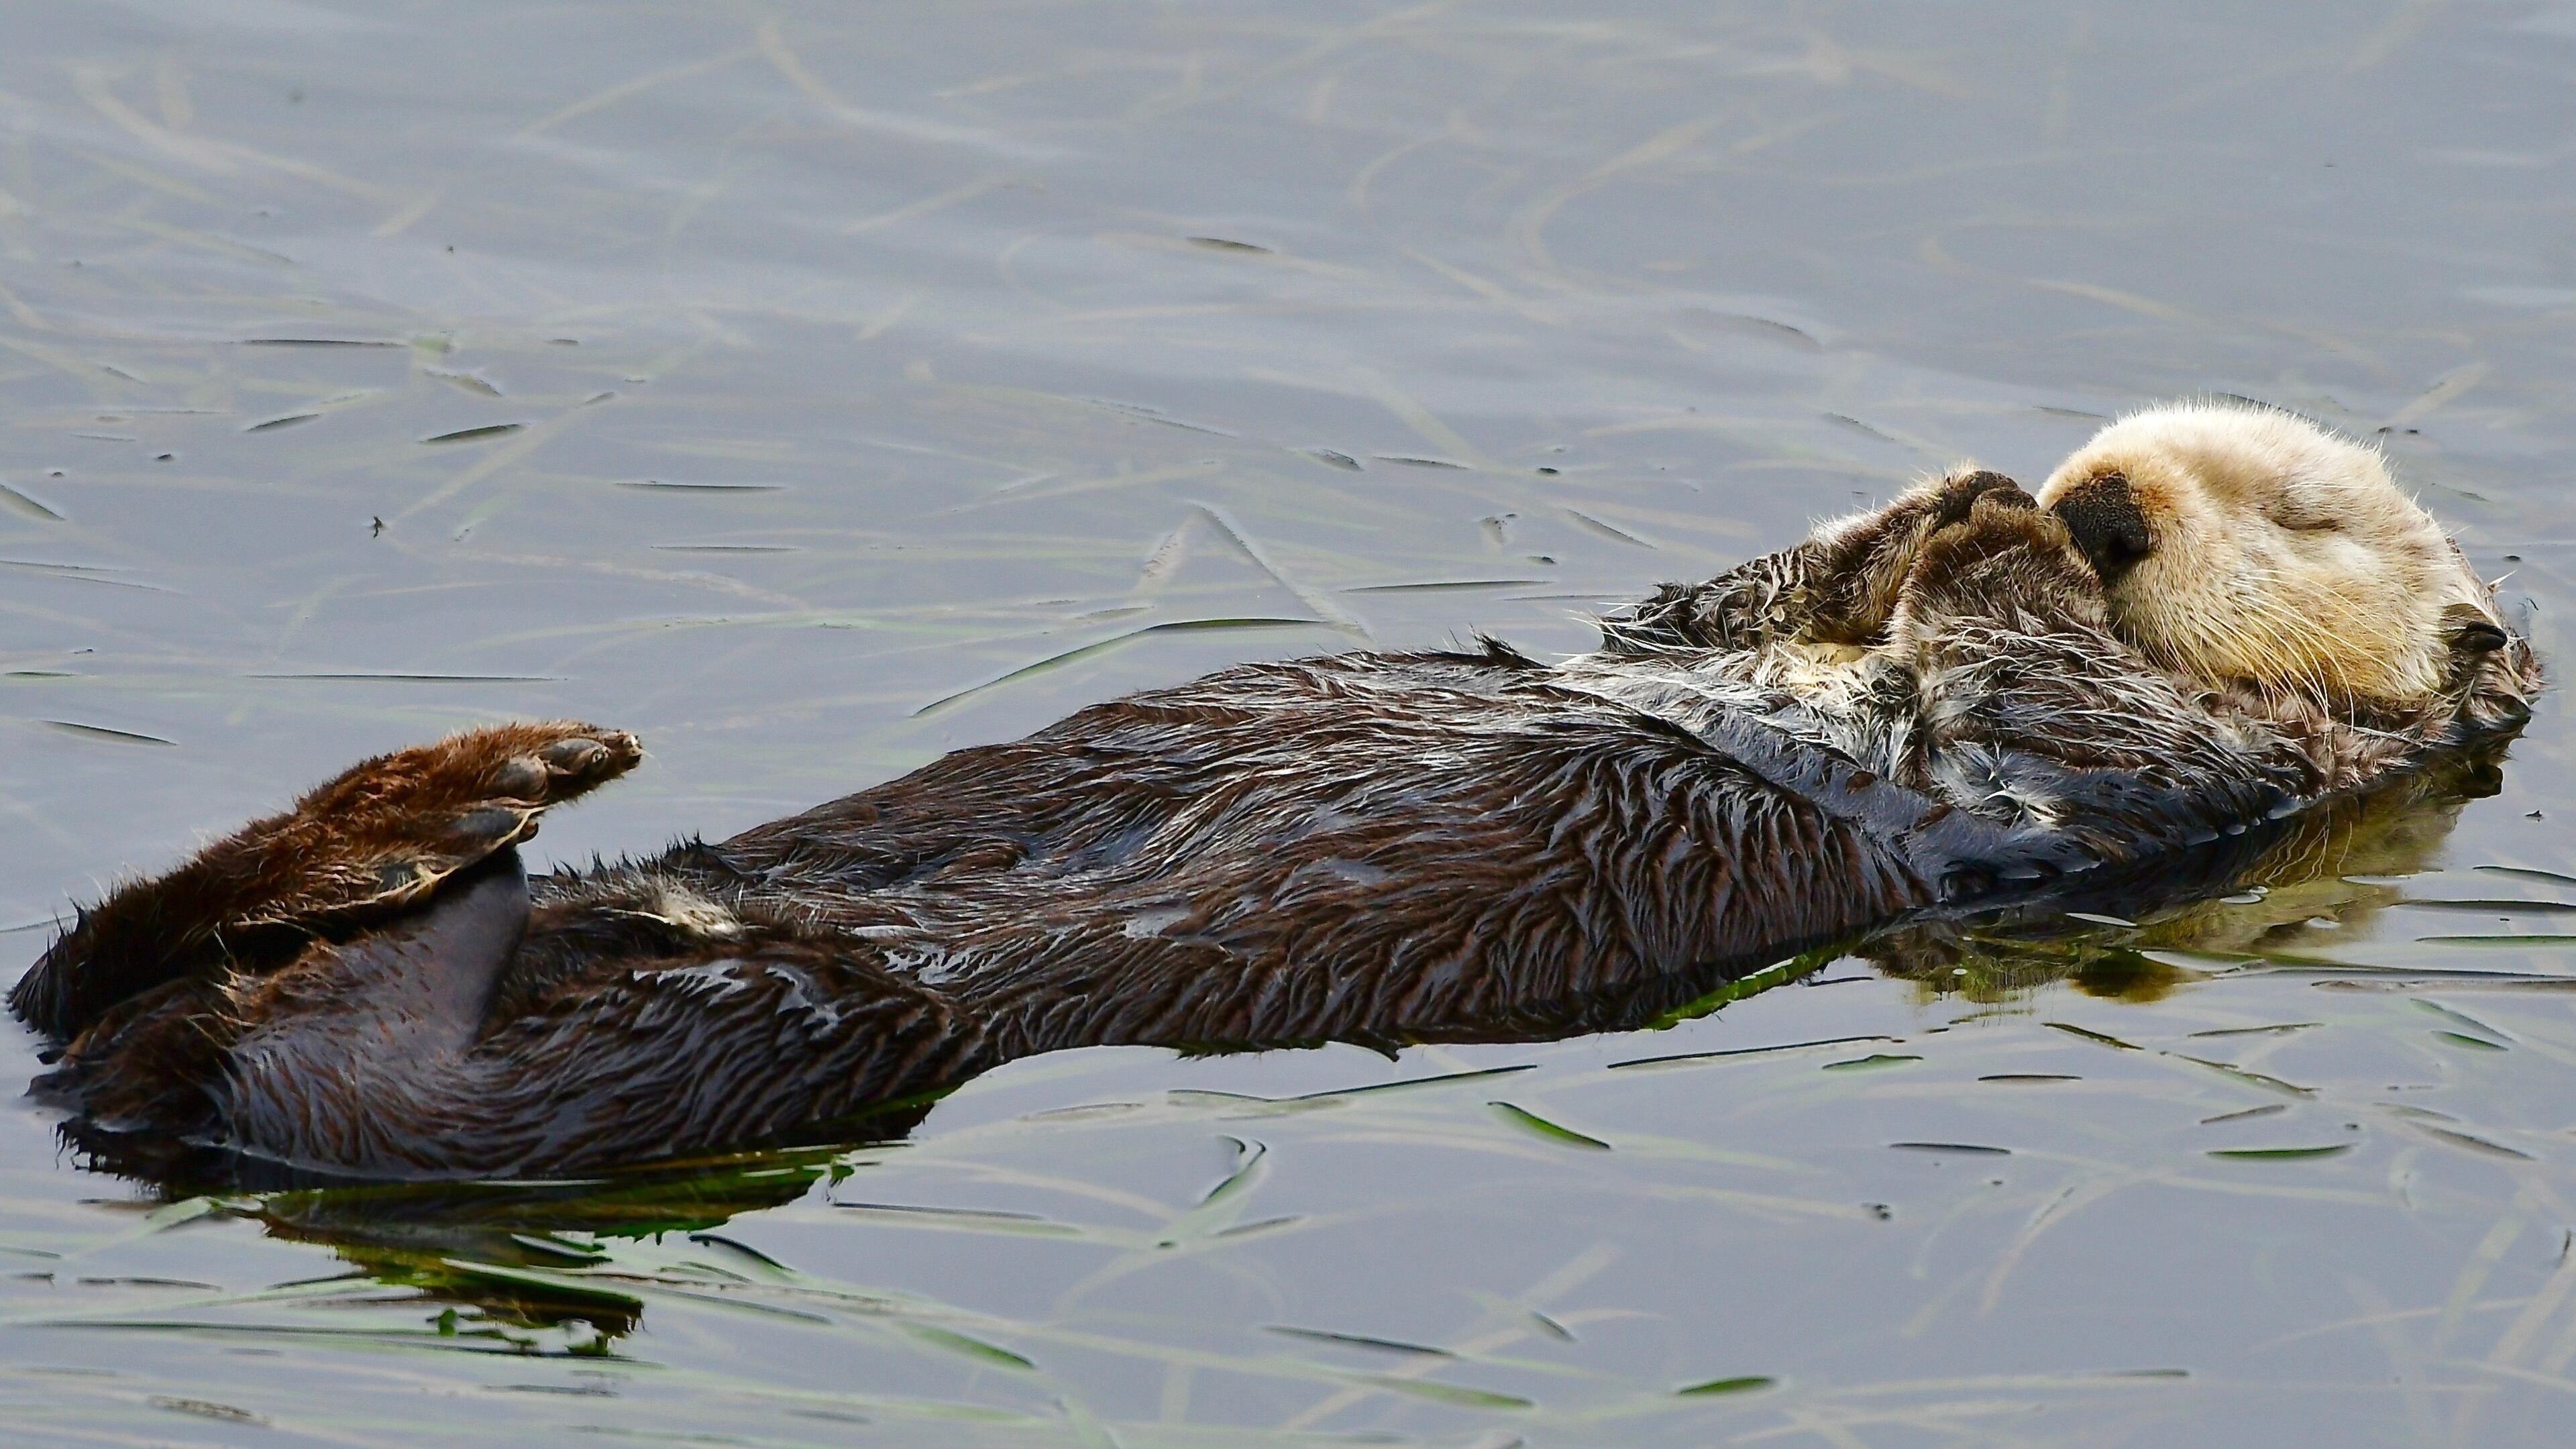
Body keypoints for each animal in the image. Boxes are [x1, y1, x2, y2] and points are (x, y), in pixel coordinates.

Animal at [7, 402, 2539, 1181]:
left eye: (2300, 510)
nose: (2102, 491)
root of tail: (145, 1095)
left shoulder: (2181, 787)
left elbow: (2069, 708)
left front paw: (2001, 547)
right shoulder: (1710, 628)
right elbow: (1705, 602)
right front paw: (1945, 496)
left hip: (733, 1050)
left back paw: (512, 797)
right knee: (100, 960)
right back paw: (523, 779)